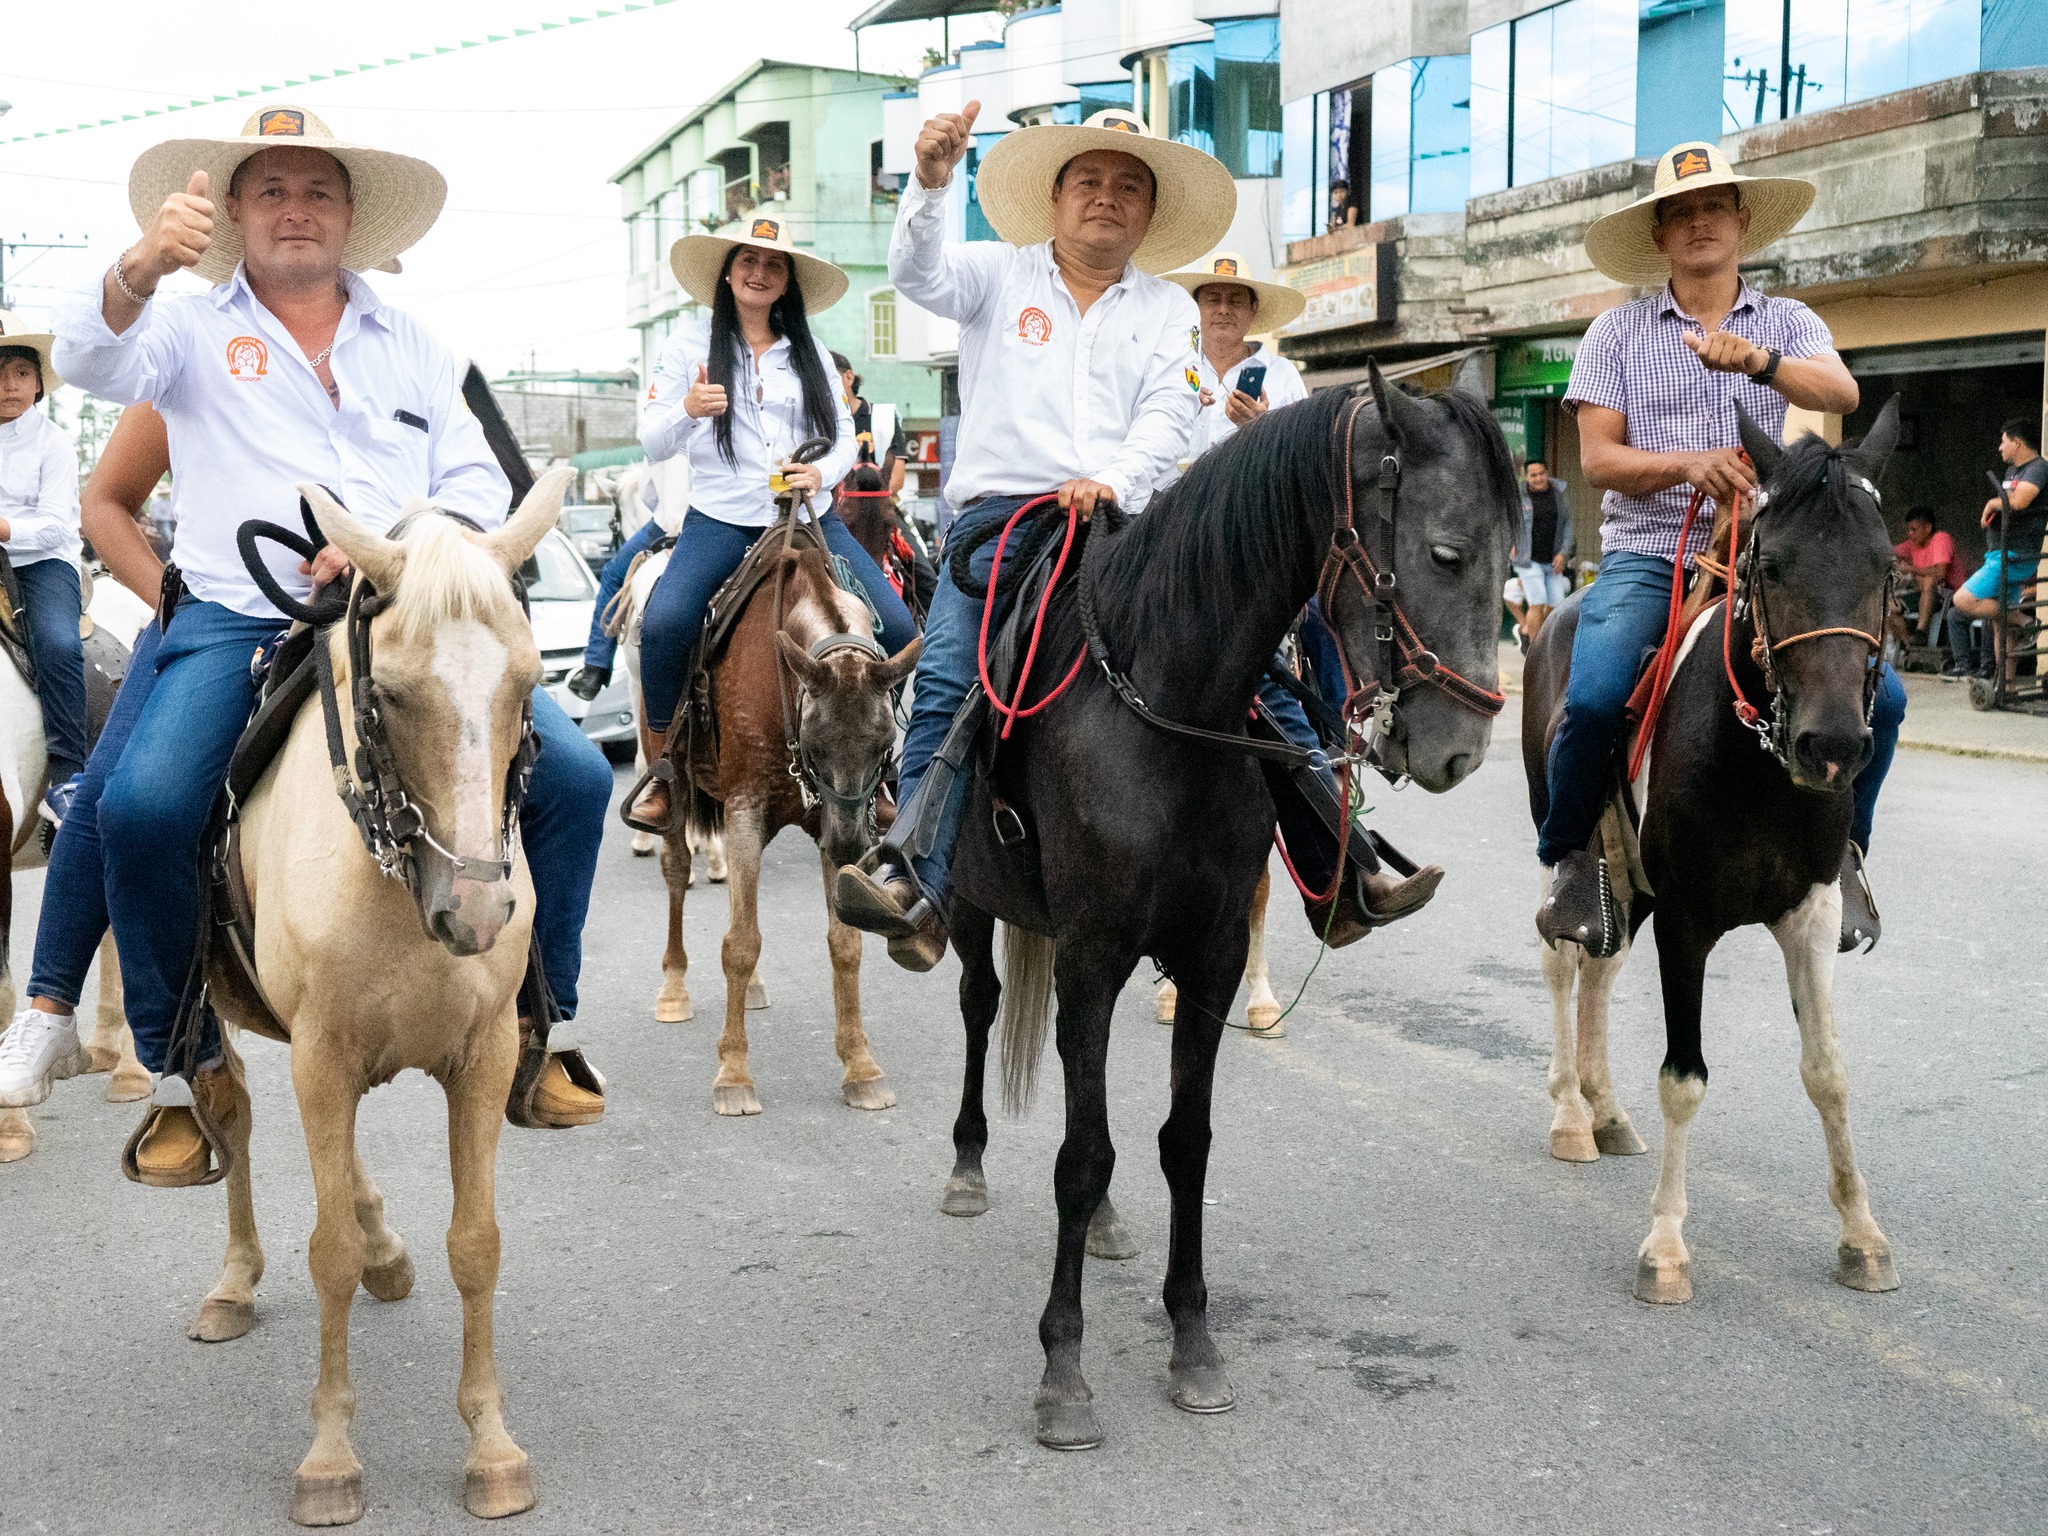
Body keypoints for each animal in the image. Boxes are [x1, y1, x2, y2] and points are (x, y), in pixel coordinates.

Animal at [188, 471, 571, 1524]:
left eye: (529, 683)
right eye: (391, 695)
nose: (477, 911)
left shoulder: (481, 1056)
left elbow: (476, 1243)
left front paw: (492, 1447)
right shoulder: (321, 1055)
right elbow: (326, 1254)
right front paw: (328, 1460)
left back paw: (385, 1245)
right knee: (231, 1114)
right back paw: (234, 1282)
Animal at [638, 520, 918, 1114]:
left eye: (885, 742)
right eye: (814, 744)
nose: (848, 842)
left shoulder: (825, 822)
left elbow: (845, 942)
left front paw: (860, 1065)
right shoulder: (745, 812)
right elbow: (739, 944)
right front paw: (734, 1075)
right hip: (674, 785)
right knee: (677, 871)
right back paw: (673, 988)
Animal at [939, 366, 1518, 1448]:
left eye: (1513, 560)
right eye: (1445, 551)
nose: (1460, 750)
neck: (1167, 710)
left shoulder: (1205, 954)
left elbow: (1182, 1144)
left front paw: (1193, 1344)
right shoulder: (1091, 954)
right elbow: (1080, 1155)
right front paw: (1064, 1372)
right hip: (964, 905)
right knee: (978, 1006)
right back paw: (965, 1165)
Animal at [1523, 400, 1903, 1305]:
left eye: (1887, 570)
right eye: (1771, 565)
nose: (1832, 745)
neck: (1756, 758)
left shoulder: (1812, 910)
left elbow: (1828, 1071)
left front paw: (1862, 1234)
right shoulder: (1688, 919)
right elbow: (1684, 1079)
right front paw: (1665, 1246)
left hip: (1633, 881)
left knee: (1604, 964)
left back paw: (1604, 1110)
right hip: (1566, 840)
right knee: (1565, 956)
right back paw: (1569, 1112)